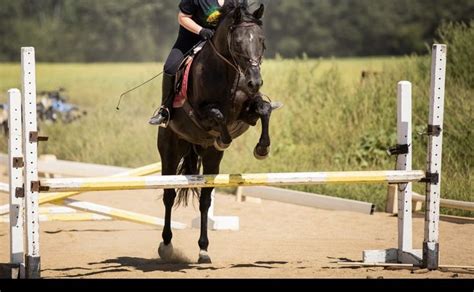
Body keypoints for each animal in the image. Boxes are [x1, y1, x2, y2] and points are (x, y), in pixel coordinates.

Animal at [157, 0, 274, 264]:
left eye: (262, 41)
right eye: (238, 42)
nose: (255, 82)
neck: (227, 72)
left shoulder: (249, 107)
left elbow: (263, 109)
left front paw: (262, 148)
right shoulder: (200, 113)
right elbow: (219, 116)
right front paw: (223, 138)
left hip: (211, 160)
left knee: (204, 201)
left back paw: (203, 249)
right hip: (170, 150)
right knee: (168, 196)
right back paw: (166, 245)